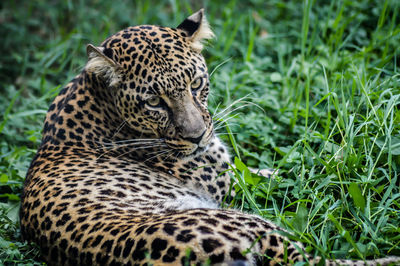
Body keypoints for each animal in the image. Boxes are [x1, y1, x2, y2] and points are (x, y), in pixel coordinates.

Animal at [20, 8, 400, 266]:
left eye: (196, 84)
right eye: (154, 101)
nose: (198, 136)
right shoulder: (227, 182)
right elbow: (297, 175)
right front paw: (355, 168)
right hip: (248, 223)